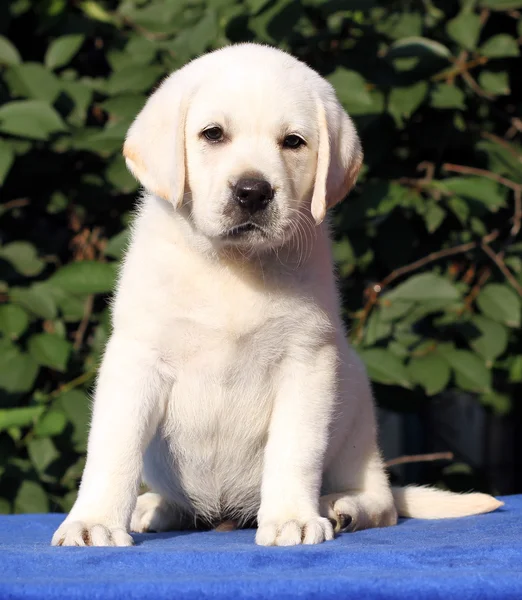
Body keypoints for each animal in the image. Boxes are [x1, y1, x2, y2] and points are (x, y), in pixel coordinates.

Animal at [51, 44, 500, 548]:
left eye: (293, 142)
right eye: (213, 134)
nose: (253, 191)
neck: (233, 266)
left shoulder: (307, 362)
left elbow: (294, 450)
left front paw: (291, 517)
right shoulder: (138, 357)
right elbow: (113, 449)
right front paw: (94, 521)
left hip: (357, 421)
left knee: (382, 501)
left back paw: (342, 507)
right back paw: (156, 507)